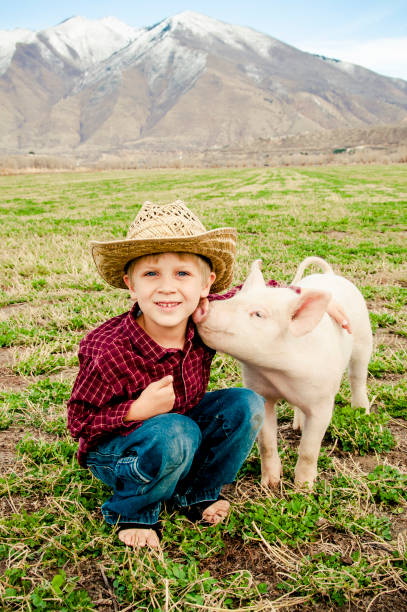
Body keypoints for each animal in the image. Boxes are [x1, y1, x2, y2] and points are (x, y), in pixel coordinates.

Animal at [199, 256, 374, 488]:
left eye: (259, 314)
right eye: (235, 296)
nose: (204, 306)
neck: (280, 374)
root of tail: (330, 274)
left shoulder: (323, 402)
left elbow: (309, 449)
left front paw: (303, 488)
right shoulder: (261, 392)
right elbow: (266, 443)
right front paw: (270, 484)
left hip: (363, 339)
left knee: (358, 376)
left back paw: (361, 411)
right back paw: (297, 427)